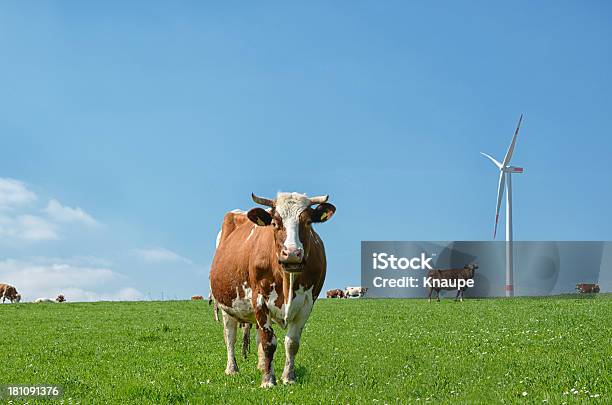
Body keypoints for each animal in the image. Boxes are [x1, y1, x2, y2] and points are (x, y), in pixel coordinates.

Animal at [209, 191, 334, 386]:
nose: (291, 254)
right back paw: (232, 369)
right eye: (275, 223)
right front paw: (268, 381)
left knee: (257, 335)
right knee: (230, 336)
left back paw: (261, 366)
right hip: (225, 304)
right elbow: (269, 342)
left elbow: (291, 343)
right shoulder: (259, 299)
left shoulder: (307, 303)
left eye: (308, 222)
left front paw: (288, 377)